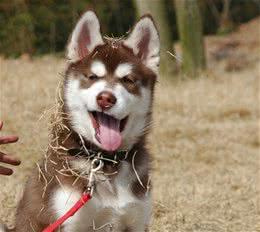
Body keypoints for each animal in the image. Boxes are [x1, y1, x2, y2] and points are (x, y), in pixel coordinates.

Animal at [8, 10, 158, 232]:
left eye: (128, 80)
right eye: (93, 77)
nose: (106, 98)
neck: (105, 161)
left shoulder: (137, 219)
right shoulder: (67, 219)